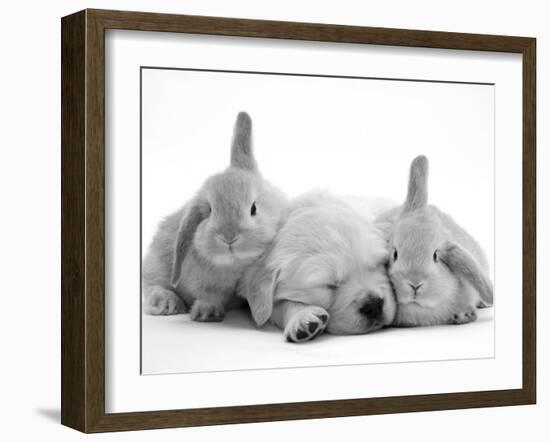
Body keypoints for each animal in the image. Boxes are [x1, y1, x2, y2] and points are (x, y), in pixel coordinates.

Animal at [142, 112, 288, 322]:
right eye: (210, 210)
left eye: (253, 208)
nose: (229, 237)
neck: (236, 265)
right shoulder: (204, 284)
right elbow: (210, 296)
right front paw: (206, 313)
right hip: (156, 265)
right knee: (152, 285)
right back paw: (166, 304)